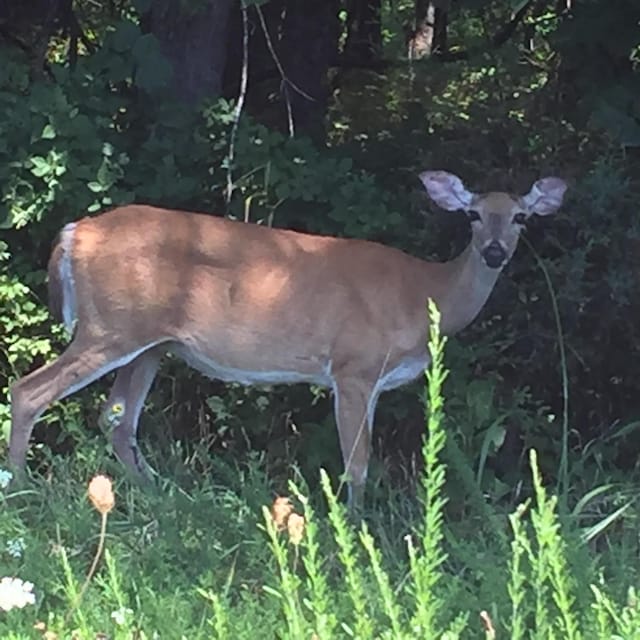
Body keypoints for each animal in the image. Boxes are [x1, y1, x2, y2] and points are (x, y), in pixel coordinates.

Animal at [6, 169, 564, 504]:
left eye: (520, 217)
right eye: (472, 214)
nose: (494, 252)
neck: (425, 295)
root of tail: (72, 233)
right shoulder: (353, 366)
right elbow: (358, 463)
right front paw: (357, 531)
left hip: (151, 344)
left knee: (117, 418)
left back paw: (162, 495)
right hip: (111, 327)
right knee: (29, 391)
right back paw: (20, 491)